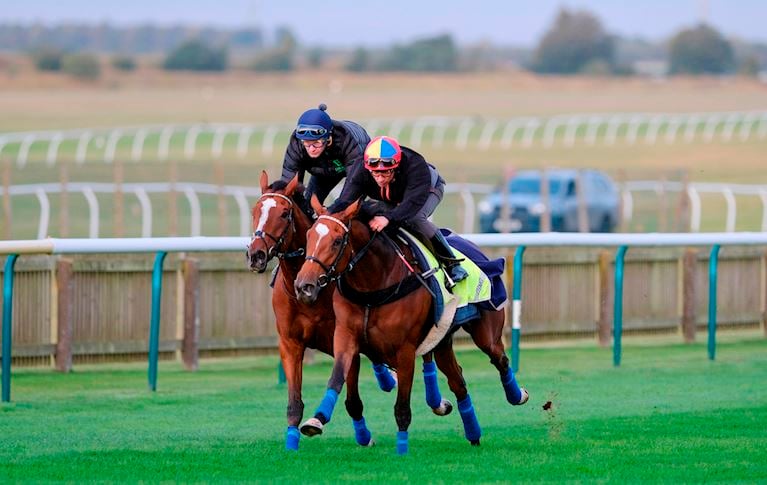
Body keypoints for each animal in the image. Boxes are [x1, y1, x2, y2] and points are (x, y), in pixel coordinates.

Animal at [246, 171, 450, 450]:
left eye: (285, 214)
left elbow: (352, 398)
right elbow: (294, 402)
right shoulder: (291, 343)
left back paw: (435, 400)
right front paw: (292, 441)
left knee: (427, 351)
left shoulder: (343, 340)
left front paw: (362, 435)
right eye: (256, 211)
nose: (255, 255)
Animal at [294, 197, 528, 454]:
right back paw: (473, 433)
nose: (304, 286)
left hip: (486, 331)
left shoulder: (404, 350)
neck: (373, 287)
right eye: (309, 236)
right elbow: (340, 383)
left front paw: (402, 448)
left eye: (337, 241)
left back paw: (517, 395)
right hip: (441, 341)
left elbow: (402, 407)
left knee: (499, 359)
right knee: (459, 383)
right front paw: (316, 420)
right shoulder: (346, 338)